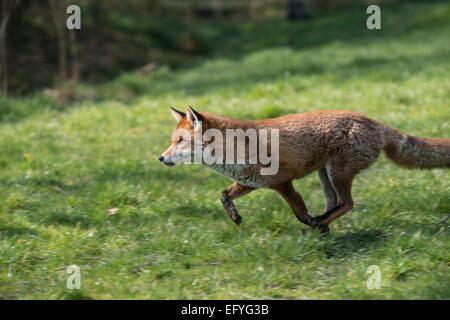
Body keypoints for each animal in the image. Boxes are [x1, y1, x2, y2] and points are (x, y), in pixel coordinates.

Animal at [160, 106, 448, 234]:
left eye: (180, 141)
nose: (161, 158)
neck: (234, 148)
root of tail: (374, 121)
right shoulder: (249, 181)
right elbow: (223, 195)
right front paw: (234, 216)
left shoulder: (283, 182)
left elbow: (299, 212)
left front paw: (309, 222)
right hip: (325, 176)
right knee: (336, 203)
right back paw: (324, 225)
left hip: (337, 172)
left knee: (348, 203)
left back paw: (320, 223)